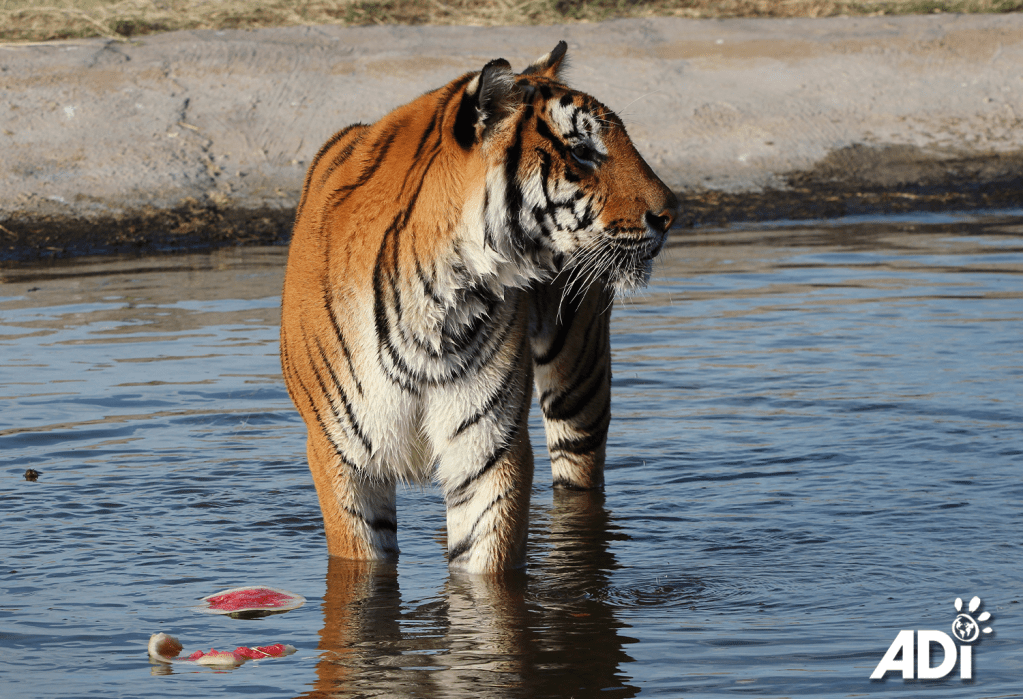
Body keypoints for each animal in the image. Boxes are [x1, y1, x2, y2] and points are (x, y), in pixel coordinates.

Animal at [280, 41, 678, 574]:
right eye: (582, 151)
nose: (670, 213)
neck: (438, 294)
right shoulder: (342, 455)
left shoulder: (487, 448)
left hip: (580, 376)